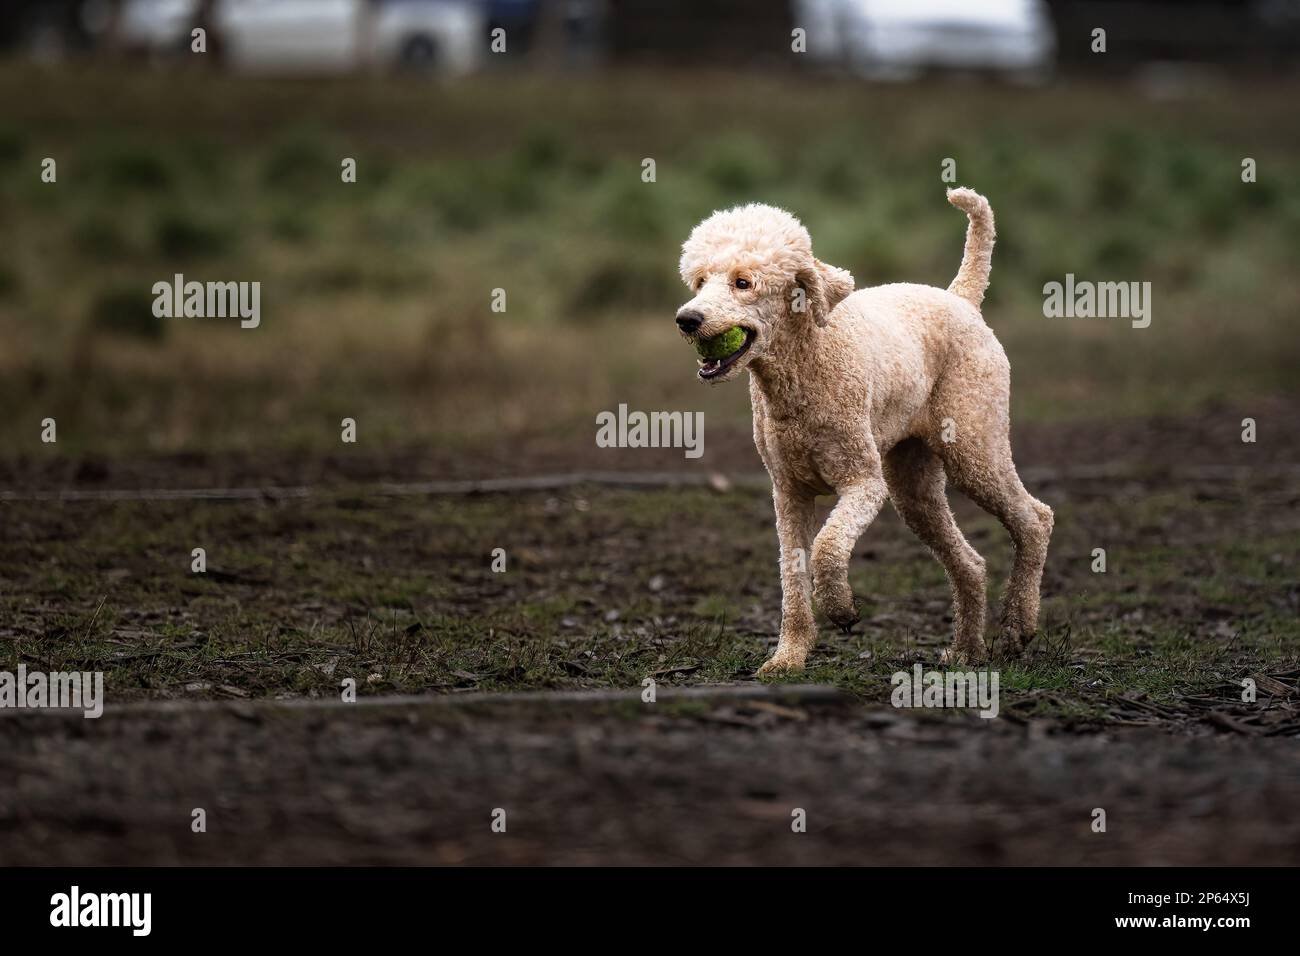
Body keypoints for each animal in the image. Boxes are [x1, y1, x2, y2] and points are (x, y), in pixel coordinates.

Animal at [676, 188, 1050, 671]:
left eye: (743, 282)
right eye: (700, 281)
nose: (687, 319)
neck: (805, 364)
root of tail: (961, 298)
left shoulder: (863, 482)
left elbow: (828, 547)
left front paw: (841, 608)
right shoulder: (788, 494)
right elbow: (792, 578)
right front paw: (787, 658)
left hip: (974, 446)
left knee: (1036, 519)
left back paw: (1018, 626)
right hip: (913, 484)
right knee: (970, 562)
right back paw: (967, 651)